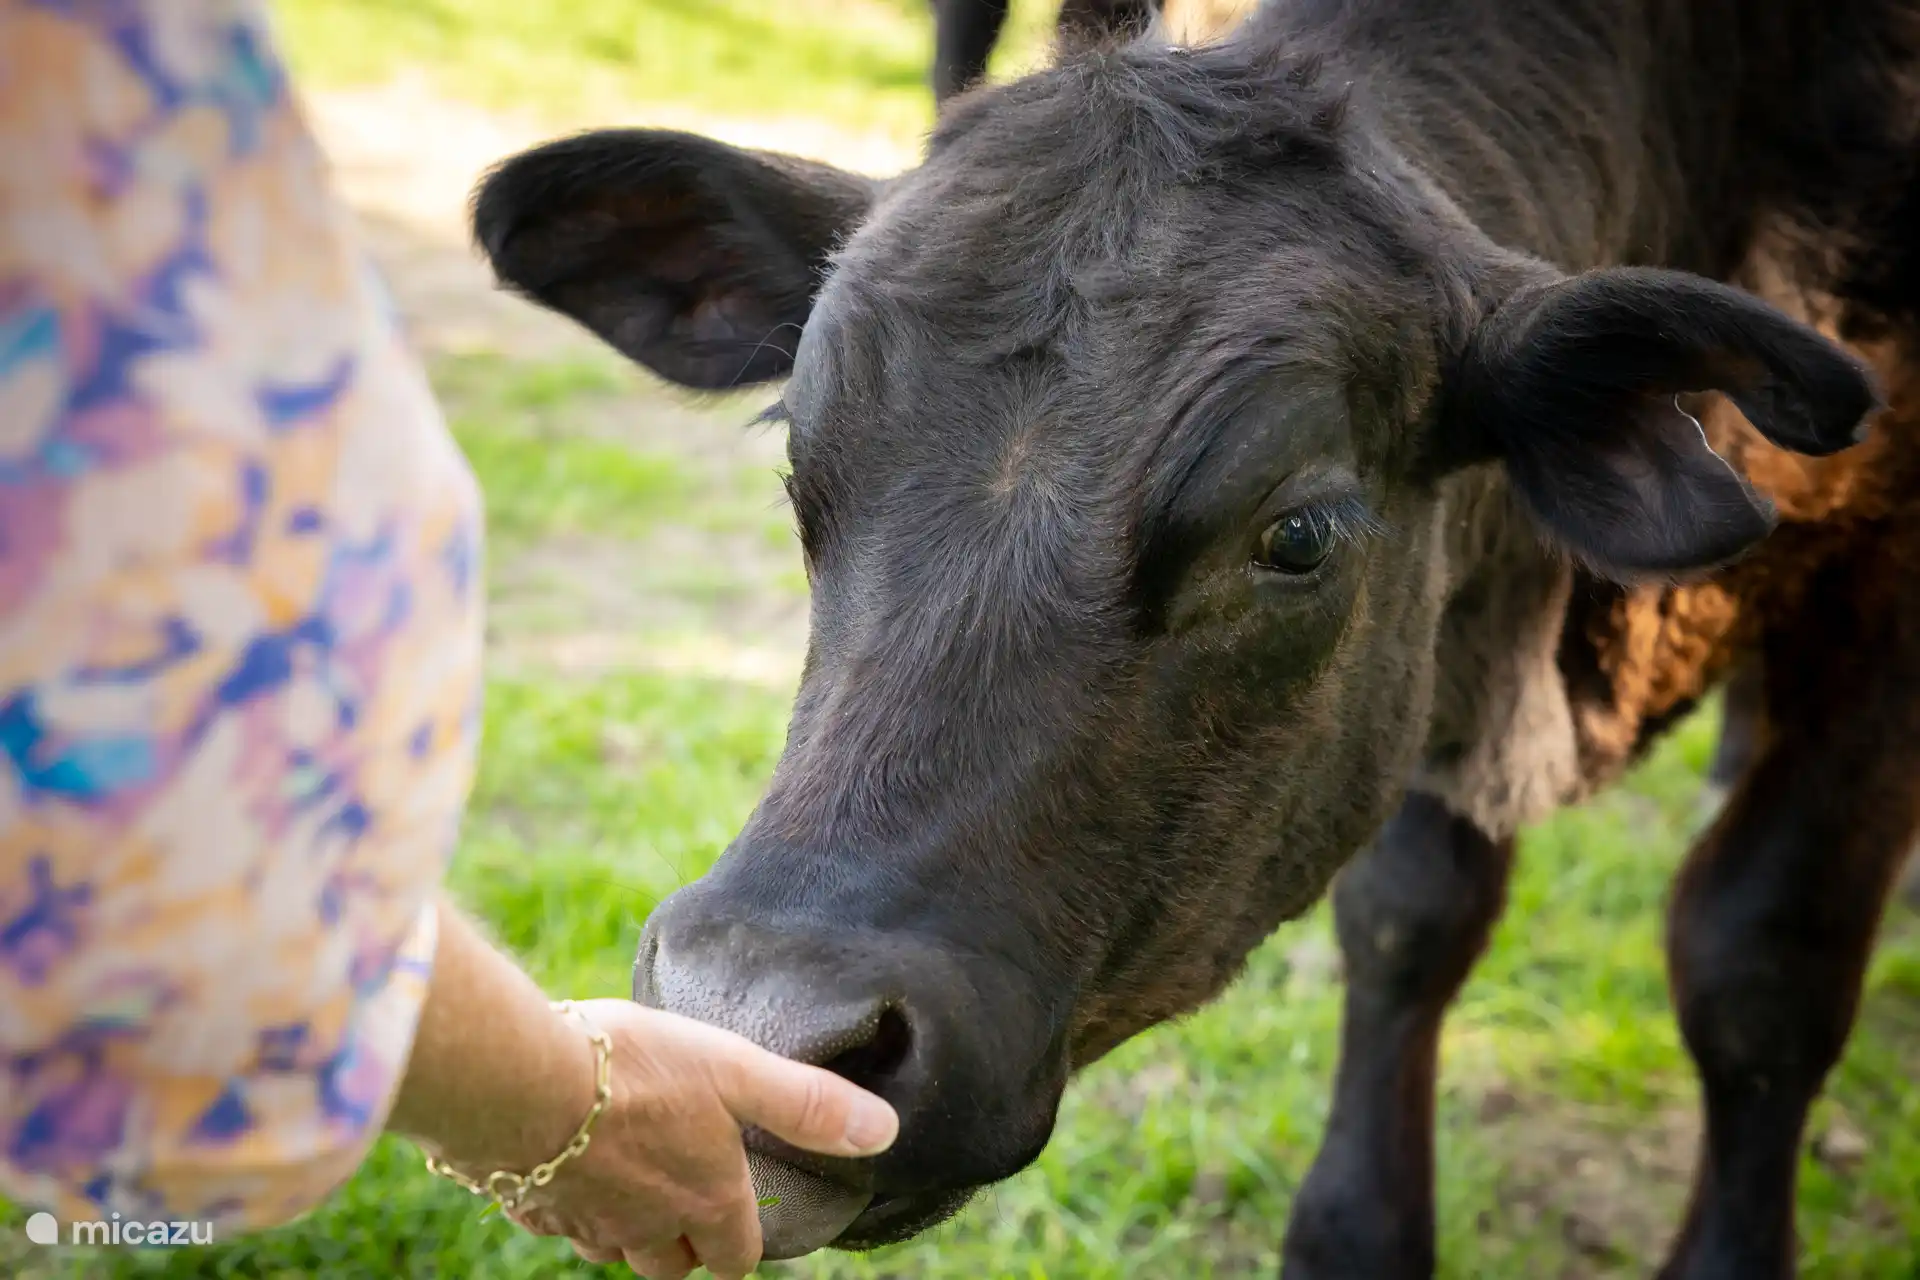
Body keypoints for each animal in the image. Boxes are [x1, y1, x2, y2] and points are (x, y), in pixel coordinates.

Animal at [469, 1, 1920, 1275]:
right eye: (799, 468)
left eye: (1302, 533)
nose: (753, 1018)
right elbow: (1409, 917)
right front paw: (1357, 1232)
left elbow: (1760, 963)